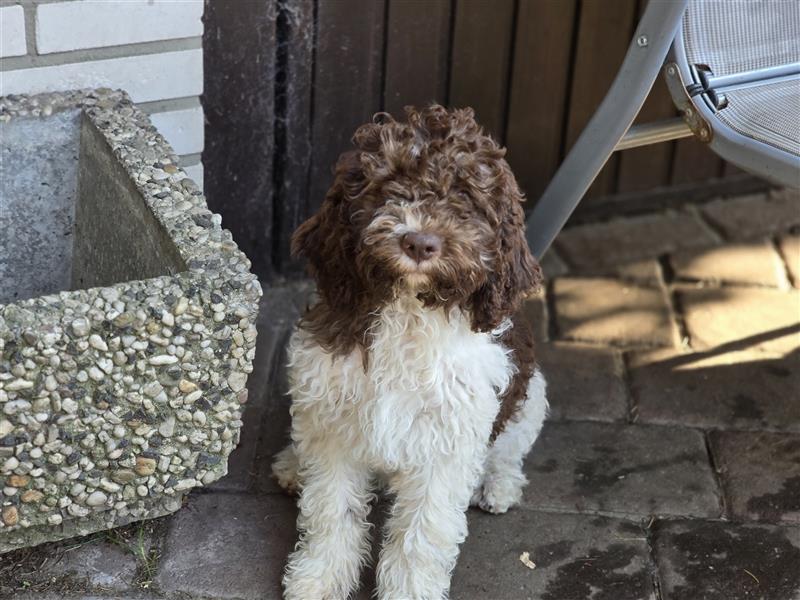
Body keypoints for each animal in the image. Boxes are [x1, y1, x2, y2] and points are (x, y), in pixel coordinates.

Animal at [272, 104, 548, 600]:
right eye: (389, 186)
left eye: (465, 197)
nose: (419, 242)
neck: (410, 309)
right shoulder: (332, 420)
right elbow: (332, 510)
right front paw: (320, 578)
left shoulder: (447, 443)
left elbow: (421, 534)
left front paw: (408, 589)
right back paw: (290, 464)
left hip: (531, 395)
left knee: (508, 451)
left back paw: (497, 486)